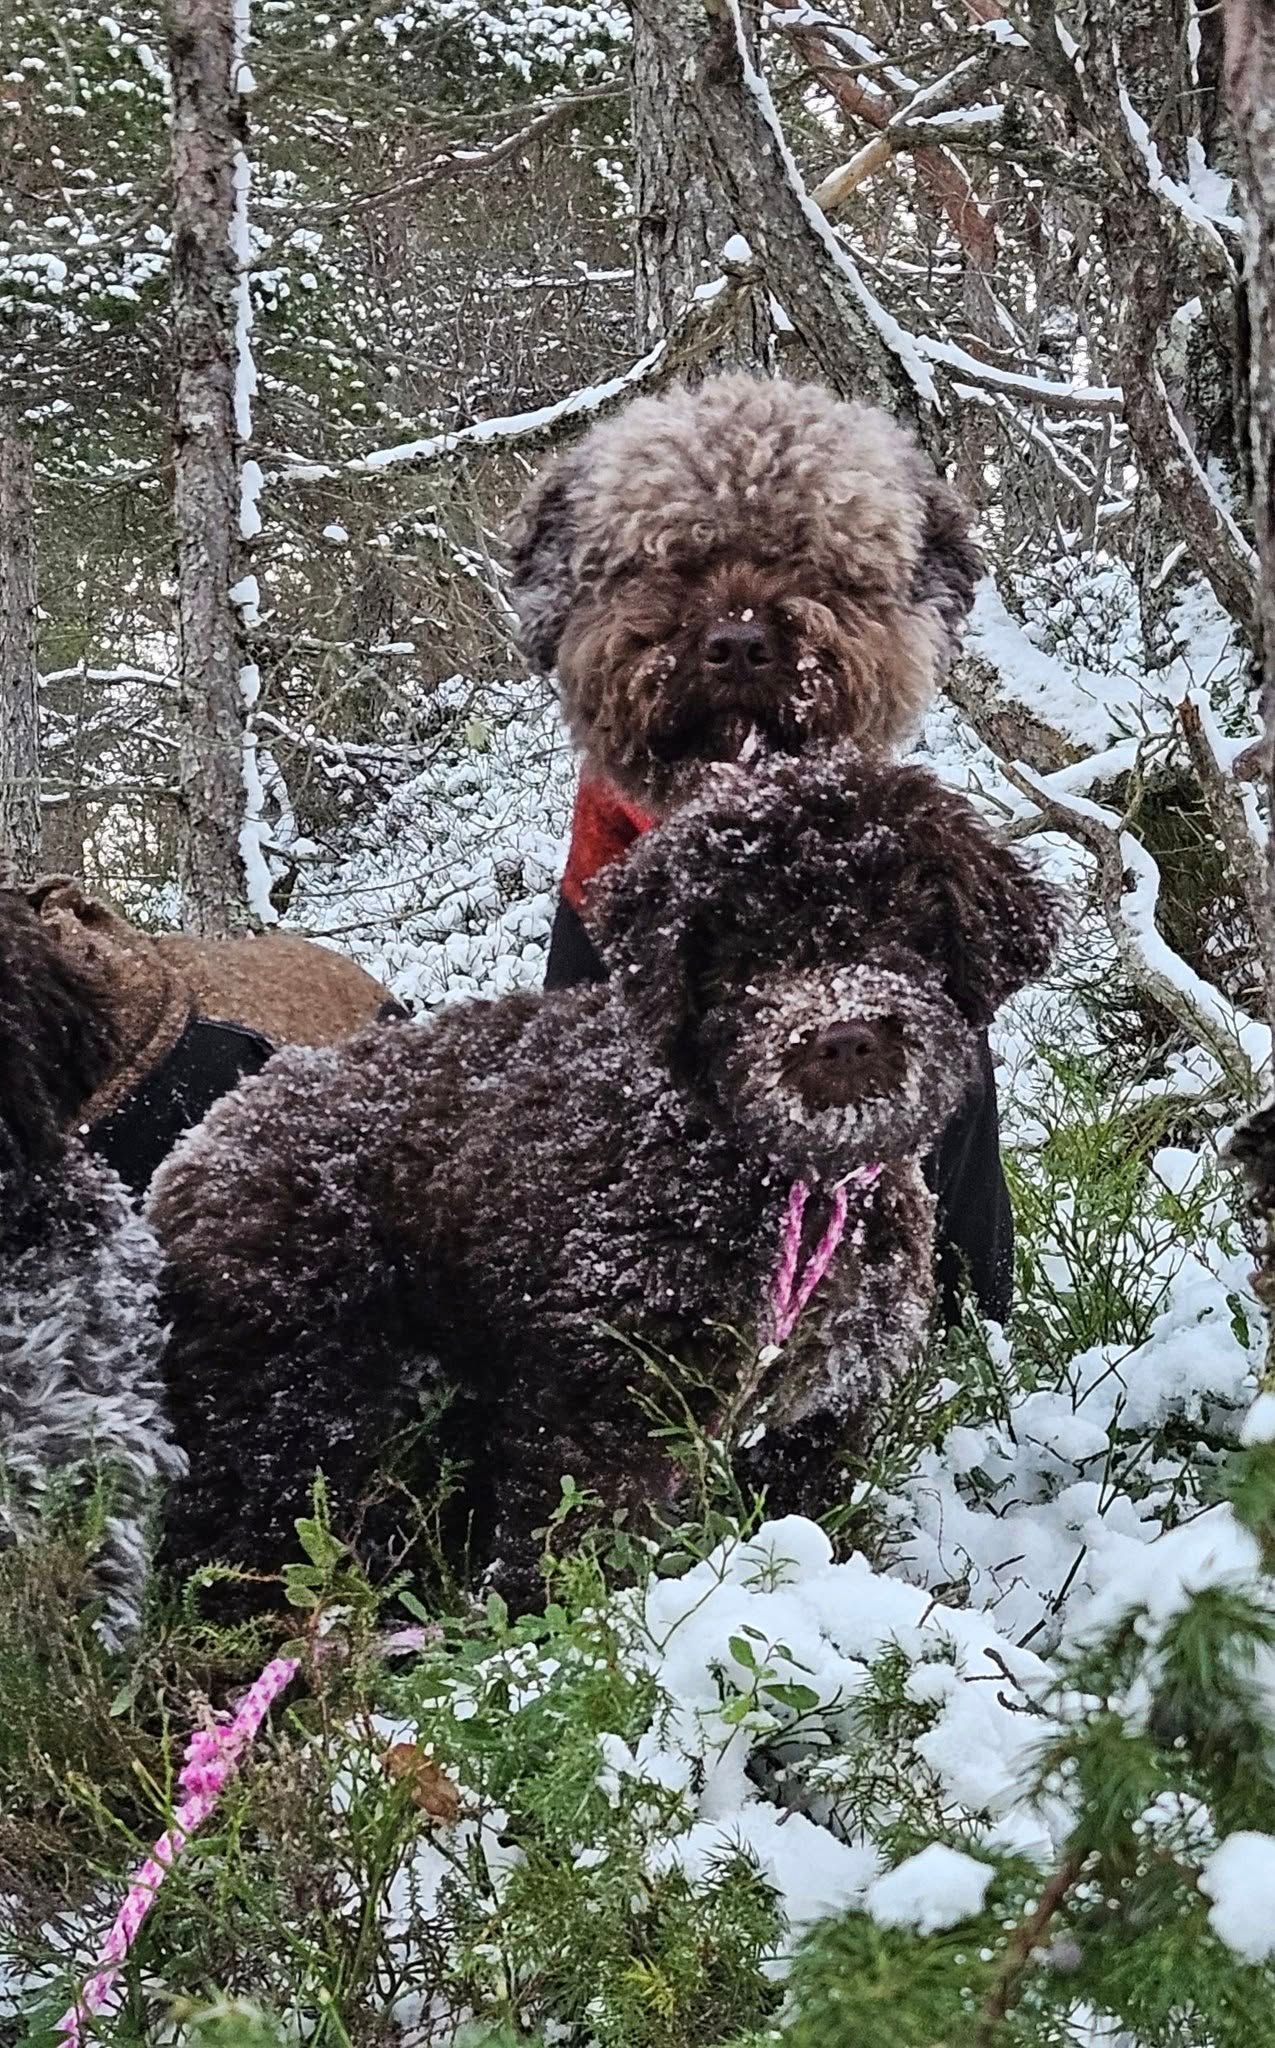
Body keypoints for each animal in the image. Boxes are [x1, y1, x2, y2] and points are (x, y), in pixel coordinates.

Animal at [148, 747, 1058, 1612]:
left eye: (907, 926)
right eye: (746, 943)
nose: (841, 1038)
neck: (778, 1178)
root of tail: (202, 1140)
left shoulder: (815, 1414)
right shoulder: (607, 1405)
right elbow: (565, 1554)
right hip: (285, 1413)